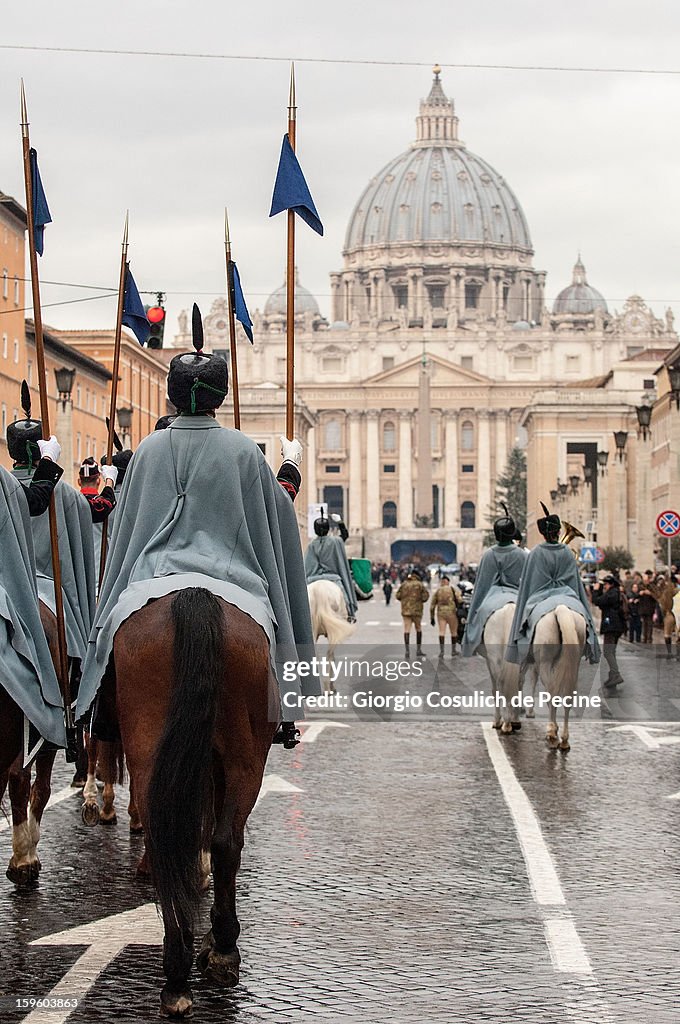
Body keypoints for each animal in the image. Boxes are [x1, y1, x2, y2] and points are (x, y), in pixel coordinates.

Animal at [106, 585, 276, 1015]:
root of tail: (195, 595)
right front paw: (216, 941)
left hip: (156, 754)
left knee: (167, 842)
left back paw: (178, 973)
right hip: (246, 761)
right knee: (225, 843)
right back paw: (219, 950)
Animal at [522, 598, 585, 753]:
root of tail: (560, 609)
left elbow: (530, 678)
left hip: (545, 661)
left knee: (552, 692)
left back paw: (552, 735)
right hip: (574, 663)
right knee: (567, 697)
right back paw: (564, 740)